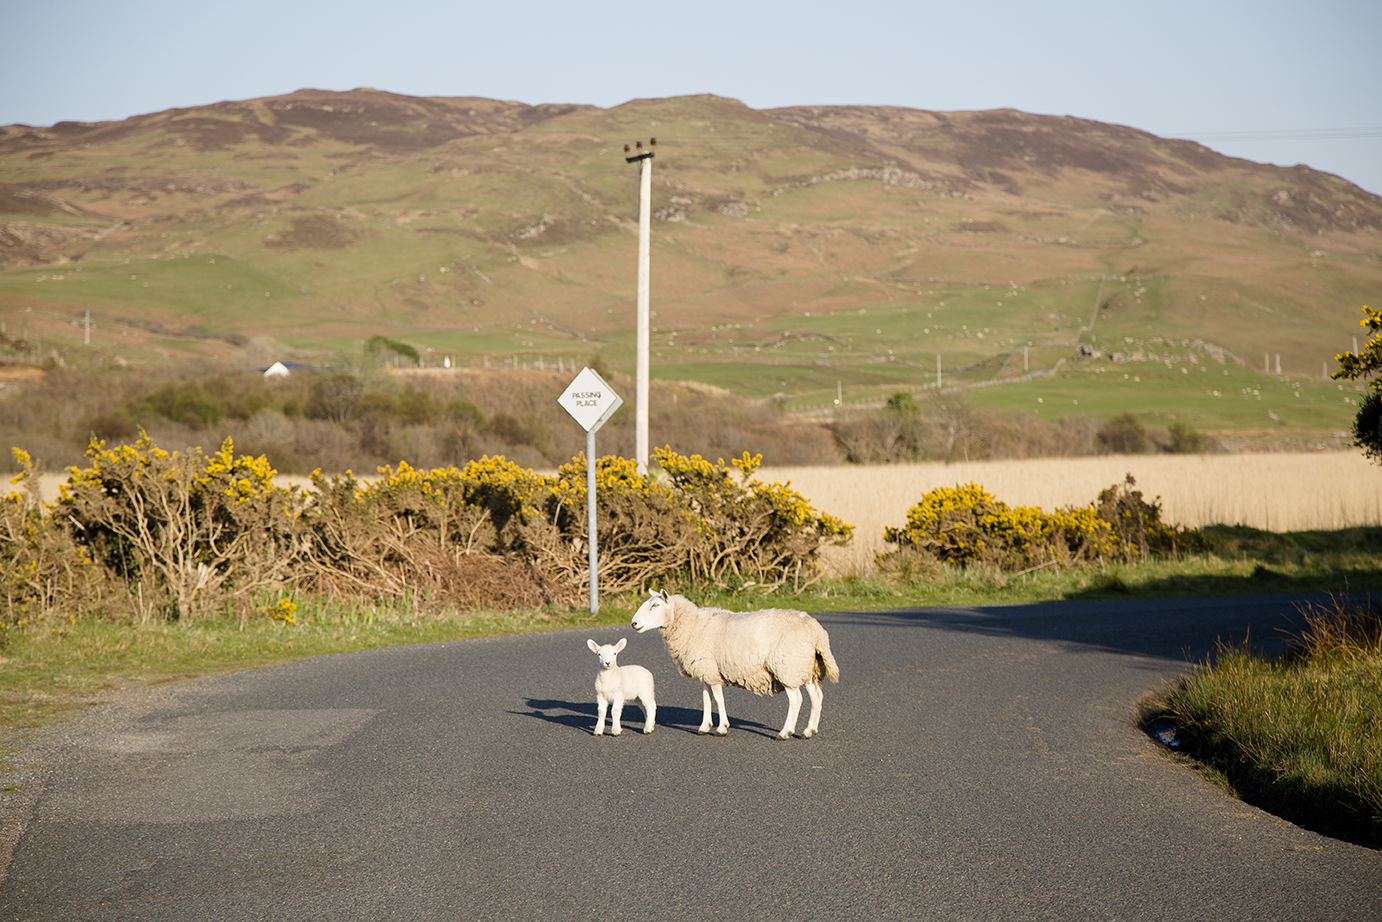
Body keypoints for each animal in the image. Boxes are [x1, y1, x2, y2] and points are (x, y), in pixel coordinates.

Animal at [630, 591, 840, 740]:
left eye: (655, 605)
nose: (634, 623)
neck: (692, 626)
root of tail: (818, 634)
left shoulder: (711, 672)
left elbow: (719, 699)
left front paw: (721, 728)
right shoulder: (706, 671)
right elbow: (706, 699)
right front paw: (704, 727)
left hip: (787, 666)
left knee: (796, 699)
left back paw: (785, 732)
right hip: (807, 667)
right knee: (816, 697)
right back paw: (809, 731)